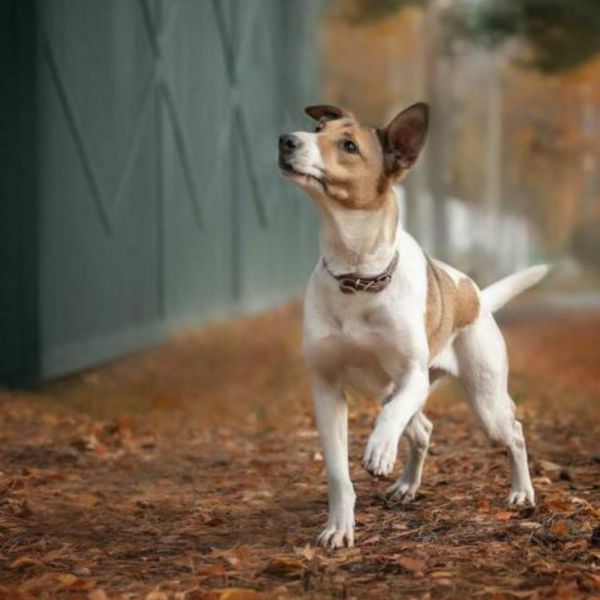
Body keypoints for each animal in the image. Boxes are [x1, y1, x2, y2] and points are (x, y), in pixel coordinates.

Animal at [276, 103, 548, 548]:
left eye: (348, 145)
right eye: (317, 129)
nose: (287, 140)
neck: (358, 277)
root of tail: (476, 297)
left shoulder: (412, 376)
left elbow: (391, 418)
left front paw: (380, 448)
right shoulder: (327, 390)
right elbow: (338, 473)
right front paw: (339, 526)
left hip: (484, 400)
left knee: (514, 432)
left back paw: (521, 491)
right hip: (396, 390)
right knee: (422, 430)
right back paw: (407, 485)